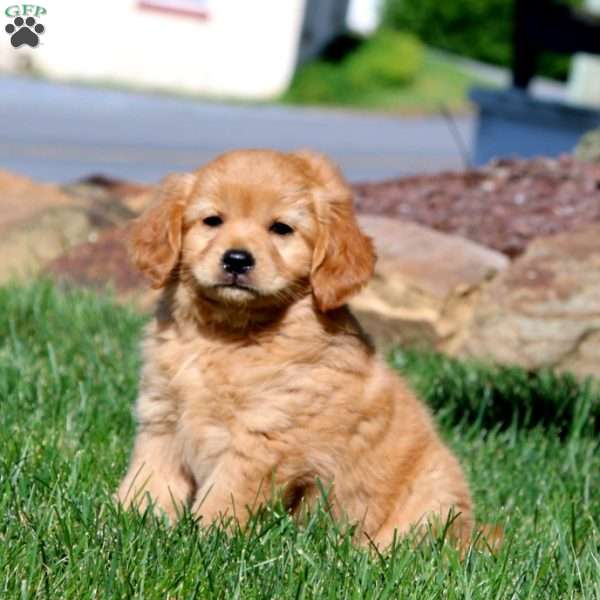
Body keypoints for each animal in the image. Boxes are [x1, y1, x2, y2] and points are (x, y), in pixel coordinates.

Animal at [116, 148, 474, 548]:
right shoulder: (161, 419)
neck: (226, 336)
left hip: (433, 499)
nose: (236, 259)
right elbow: (148, 482)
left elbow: (224, 497)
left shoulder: (264, 437)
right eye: (212, 221)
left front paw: (205, 540)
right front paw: (123, 524)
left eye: (281, 229)